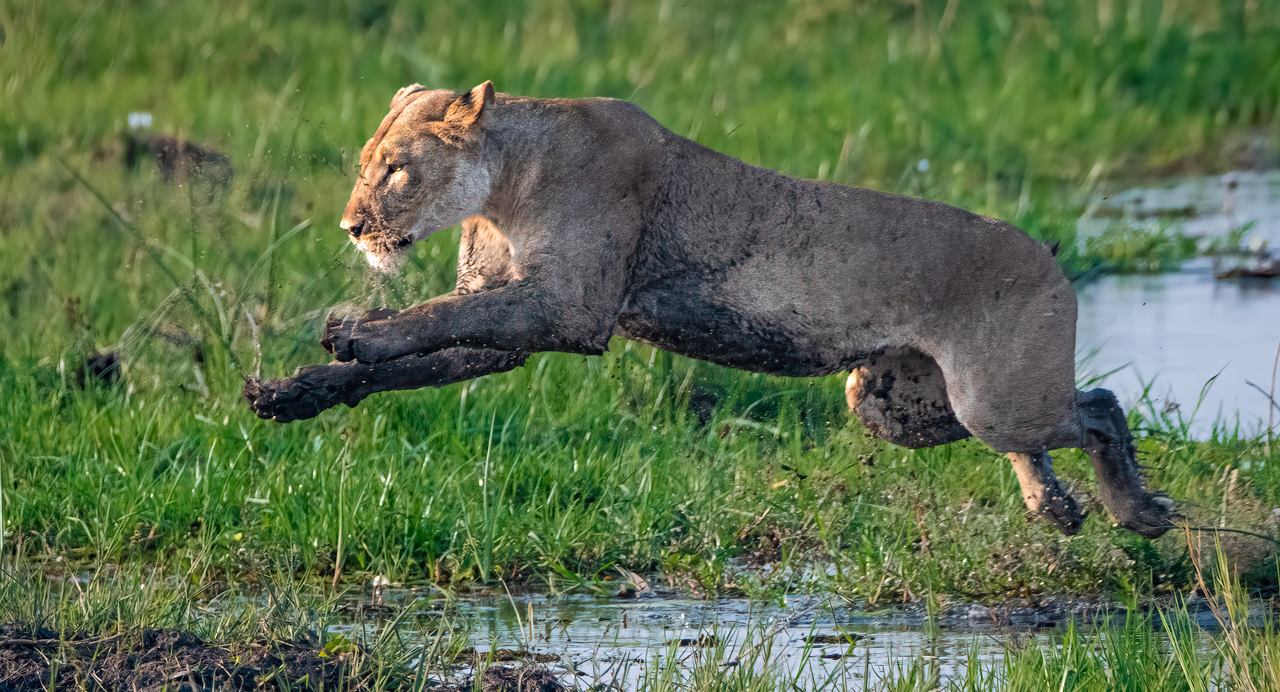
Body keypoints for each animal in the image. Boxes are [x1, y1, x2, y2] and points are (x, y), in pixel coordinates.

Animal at [244, 82, 1176, 538]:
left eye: (396, 169)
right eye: (365, 164)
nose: (352, 226)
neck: (500, 190)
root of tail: (1048, 254)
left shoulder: (569, 306)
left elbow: (429, 319)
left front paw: (357, 327)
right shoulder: (510, 322)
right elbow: (427, 350)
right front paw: (292, 393)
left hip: (989, 398)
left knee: (1098, 406)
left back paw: (1137, 511)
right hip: (892, 405)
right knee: (1052, 427)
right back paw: (1057, 508)